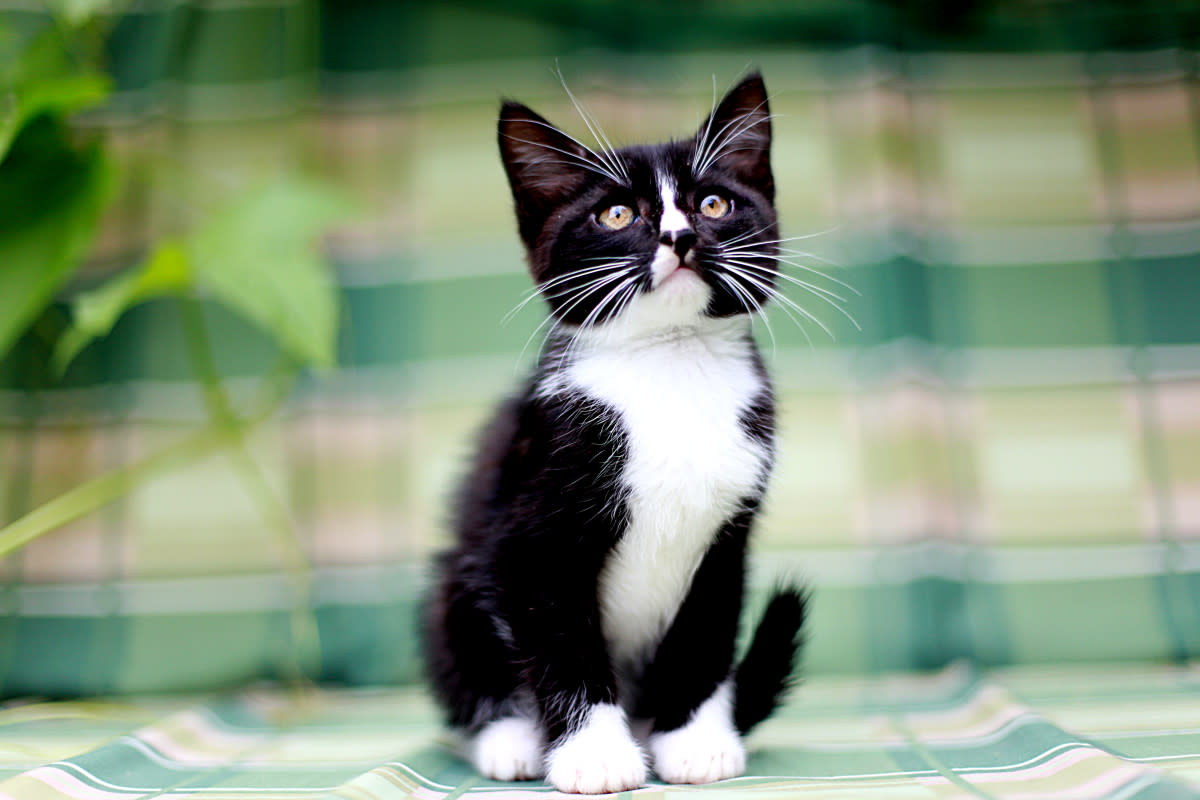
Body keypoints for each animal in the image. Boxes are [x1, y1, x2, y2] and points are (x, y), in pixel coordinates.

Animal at [422, 73, 806, 796]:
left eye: (713, 203)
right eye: (618, 216)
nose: (680, 237)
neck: (670, 368)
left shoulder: (727, 537)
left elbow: (705, 634)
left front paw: (694, 742)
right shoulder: (533, 528)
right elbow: (562, 645)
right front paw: (594, 756)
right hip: (454, 585)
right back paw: (513, 740)